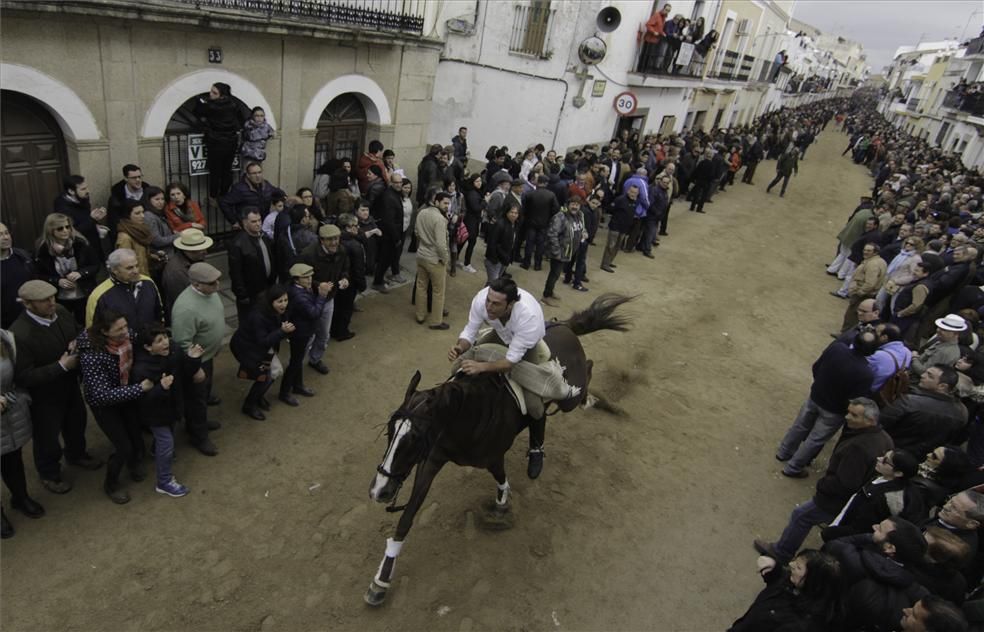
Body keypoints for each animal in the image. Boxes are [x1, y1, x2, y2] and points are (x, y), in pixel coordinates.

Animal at [362, 294, 632, 604]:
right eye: (390, 432)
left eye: (414, 439)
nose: (379, 491)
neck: (469, 412)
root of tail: (565, 327)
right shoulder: (432, 459)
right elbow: (407, 517)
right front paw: (381, 581)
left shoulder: (490, 458)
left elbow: (501, 479)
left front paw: (502, 506)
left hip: (567, 398)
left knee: (584, 373)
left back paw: (593, 401)